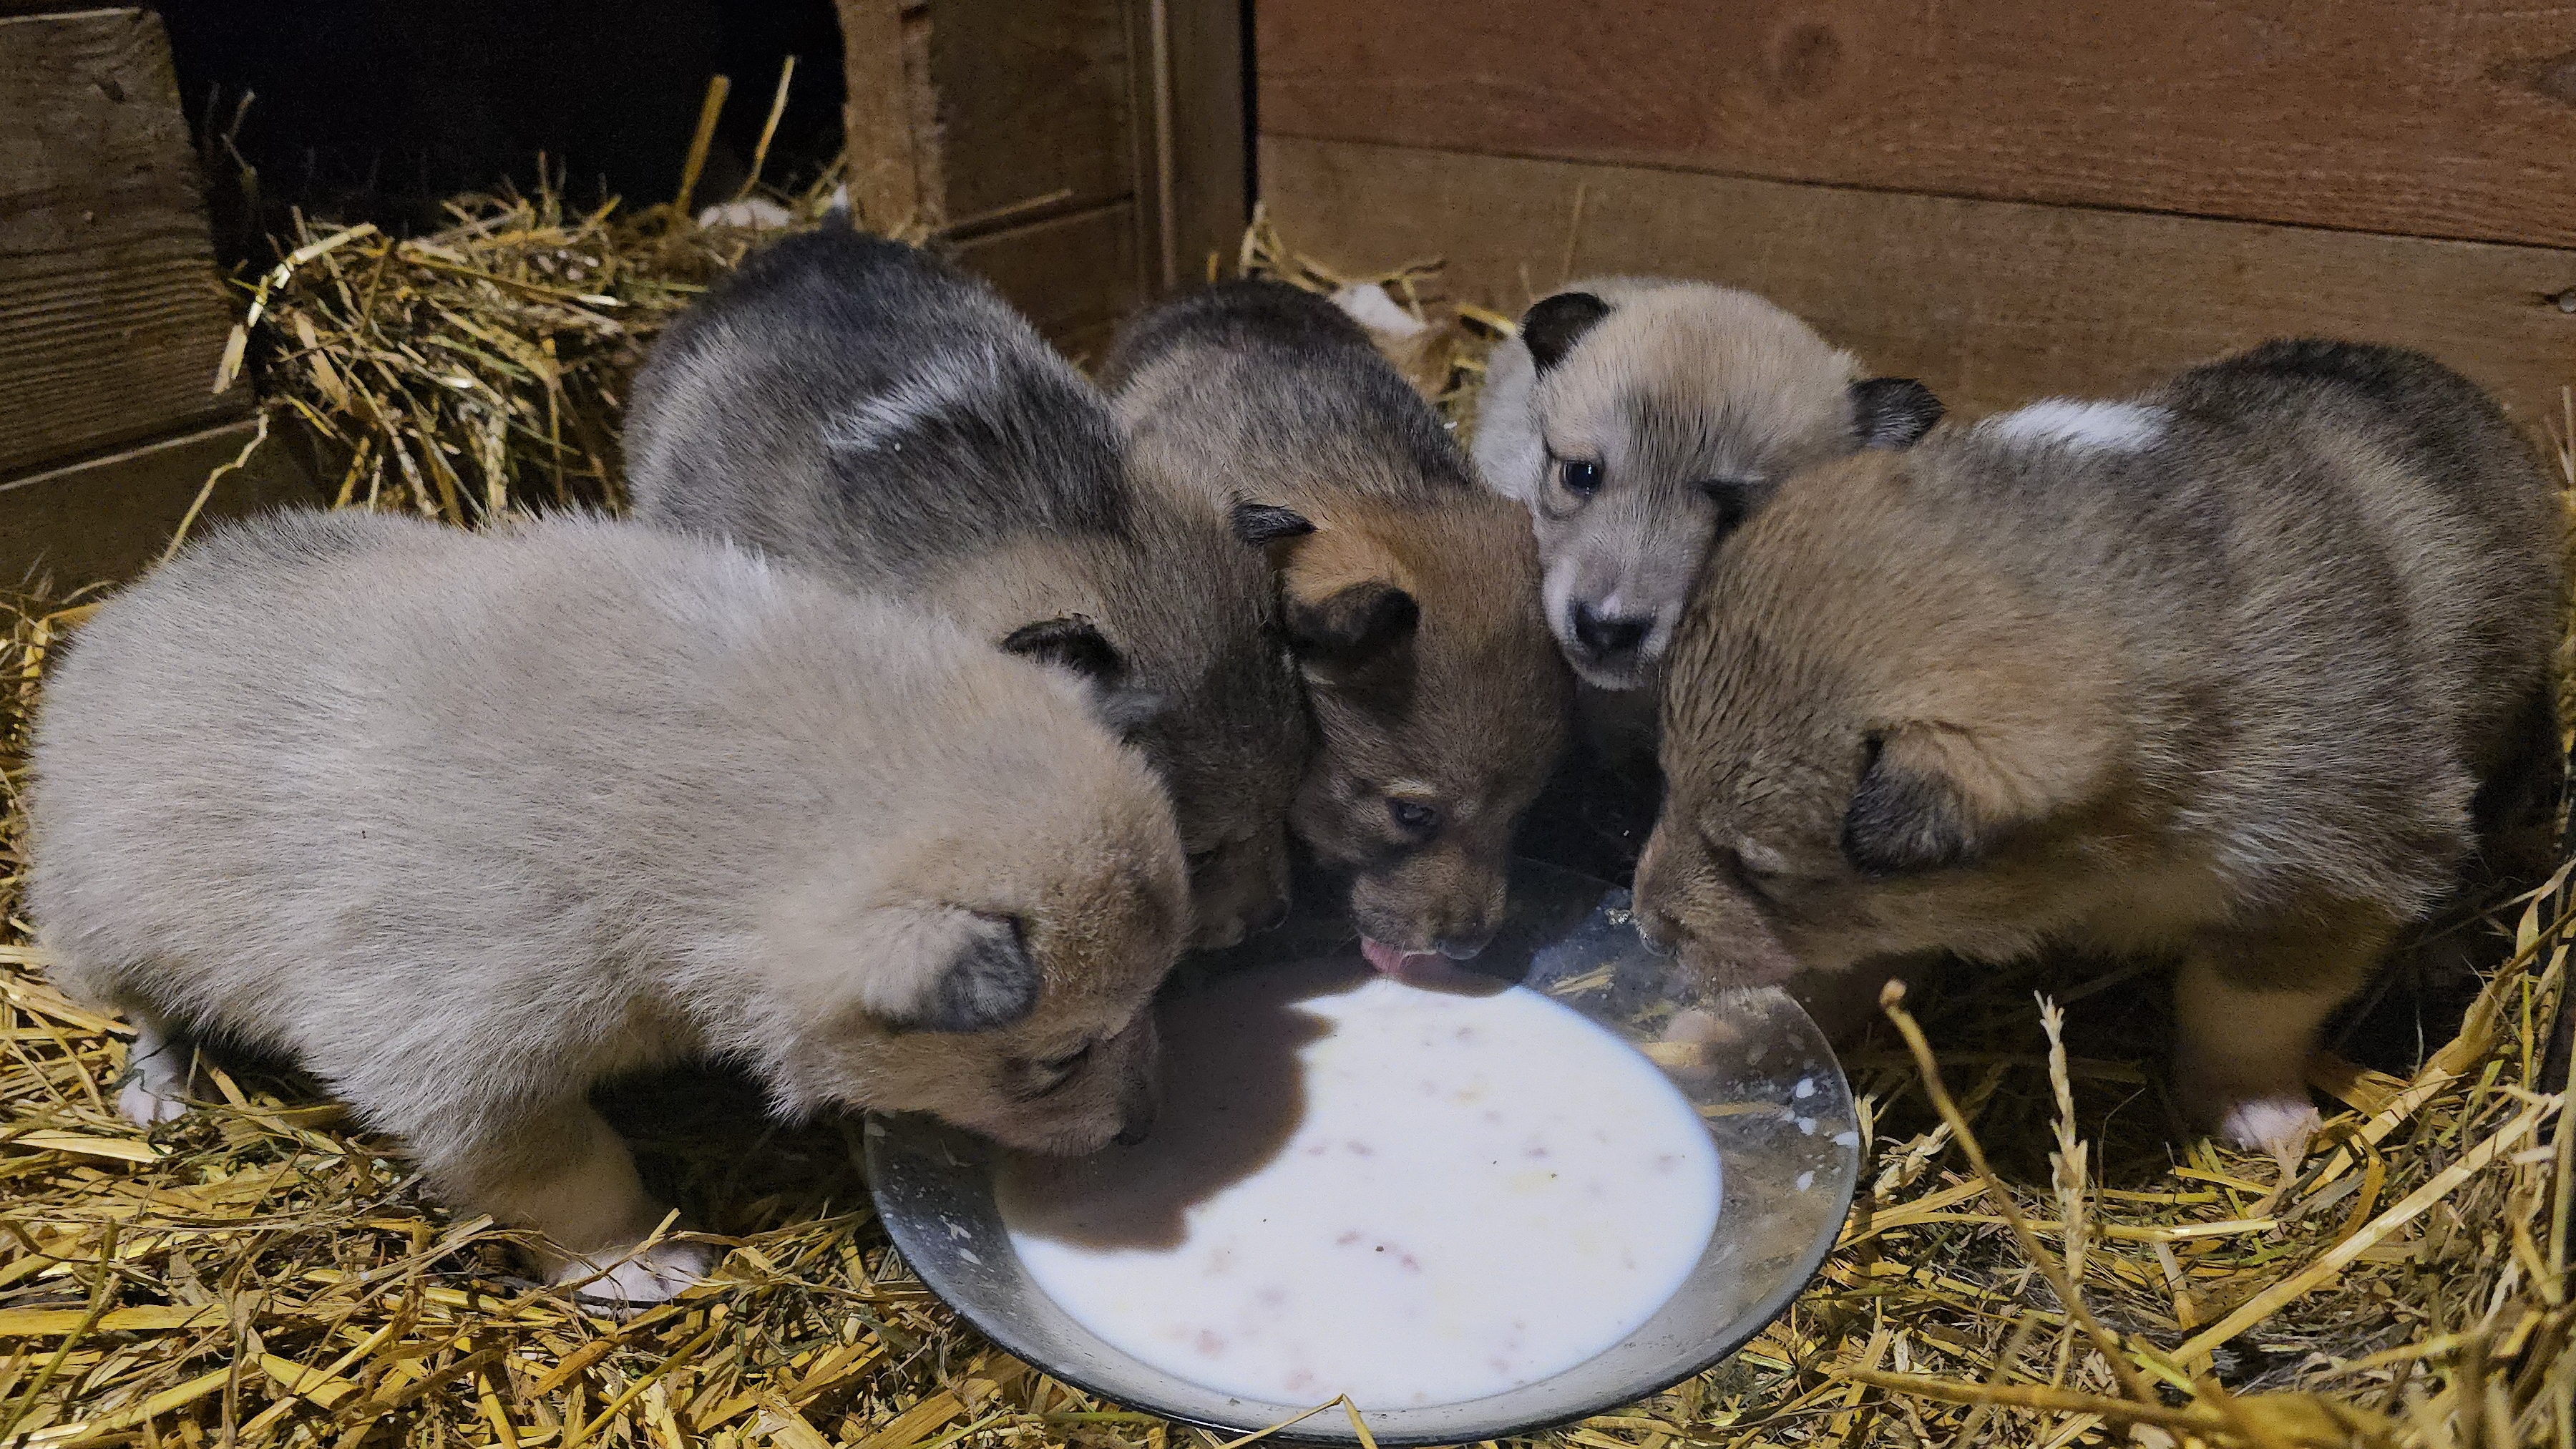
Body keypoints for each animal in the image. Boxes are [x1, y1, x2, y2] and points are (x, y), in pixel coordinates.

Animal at [30, 507, 1185, 1299]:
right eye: (1063, 1058)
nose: (1142, 1132)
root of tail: (124, 611)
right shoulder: (458, 1057)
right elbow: (567, 1171)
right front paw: (632, 1260)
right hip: (104, 914)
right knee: (140, 1003)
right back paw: (163, 1084)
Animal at [1638, 338, 2565, 1150]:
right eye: (1666, 784)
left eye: (1759, 866)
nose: (1645, 929)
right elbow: (1832, 966)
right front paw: (1720, 1035)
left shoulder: (2323, 887)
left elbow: (2236, 1006)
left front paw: (2250, 1105)